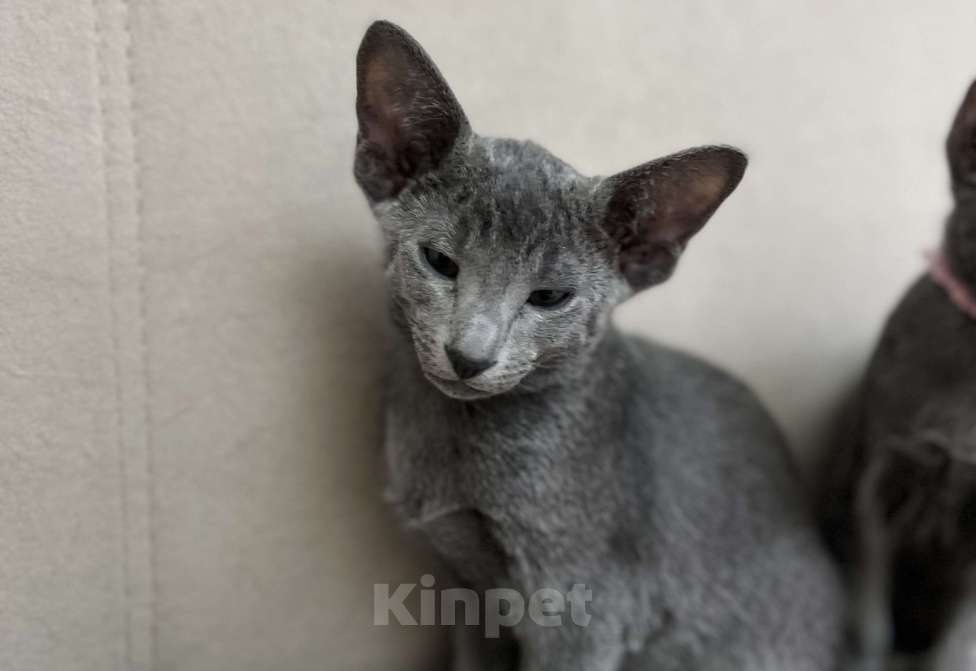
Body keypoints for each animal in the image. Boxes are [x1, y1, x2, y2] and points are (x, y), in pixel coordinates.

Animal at [354, 20, 845, 671]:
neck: (456, 441)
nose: (469, 355)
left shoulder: (582, 613)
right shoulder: (465, 591)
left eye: (549, 297)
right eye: (439, 261)